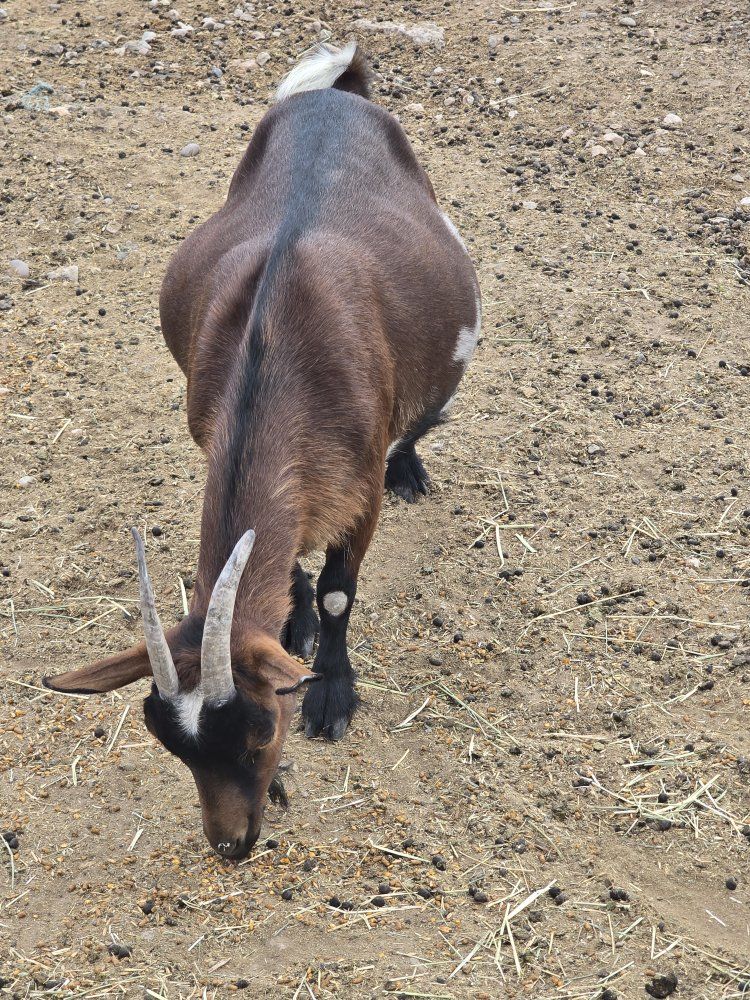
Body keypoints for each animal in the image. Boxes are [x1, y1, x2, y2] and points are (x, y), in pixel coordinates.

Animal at [43, 42, 481, 860]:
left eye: (259, 735)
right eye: (174, 750)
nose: (231, 844)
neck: (281, 344)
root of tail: (339, 92)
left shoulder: (360, 492)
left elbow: (341, 590)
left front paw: (332, 694)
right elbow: (298, 569)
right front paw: (295, 626)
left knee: (426, 410)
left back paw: (412, 464)